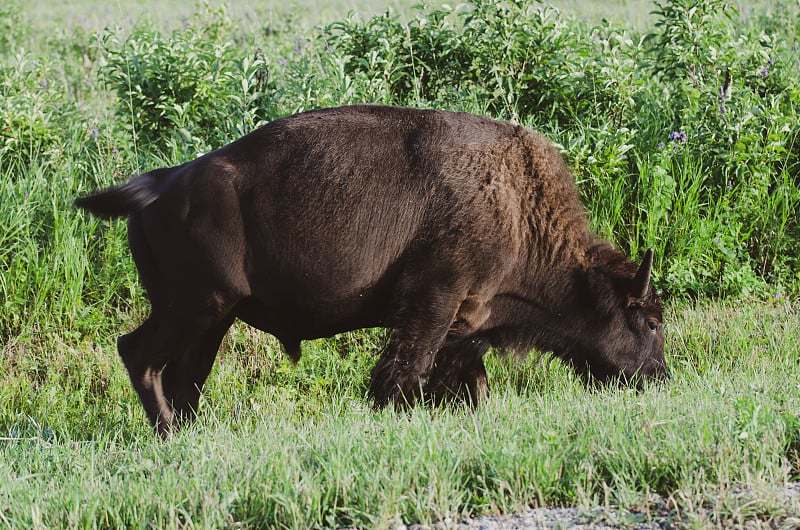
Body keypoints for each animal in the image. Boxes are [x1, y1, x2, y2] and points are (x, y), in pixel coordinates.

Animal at [75, 103, 664, 434]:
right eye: (652, 321)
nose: (658, 378)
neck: (517, 207)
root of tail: (161, 184)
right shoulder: (434, 302)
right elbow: (404, 373)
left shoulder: (462, 323)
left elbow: (467, 382)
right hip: (194, 307)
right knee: (138, 353)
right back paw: (168, 435)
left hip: (211, 320)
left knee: (184, 378)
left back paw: (187, 433)